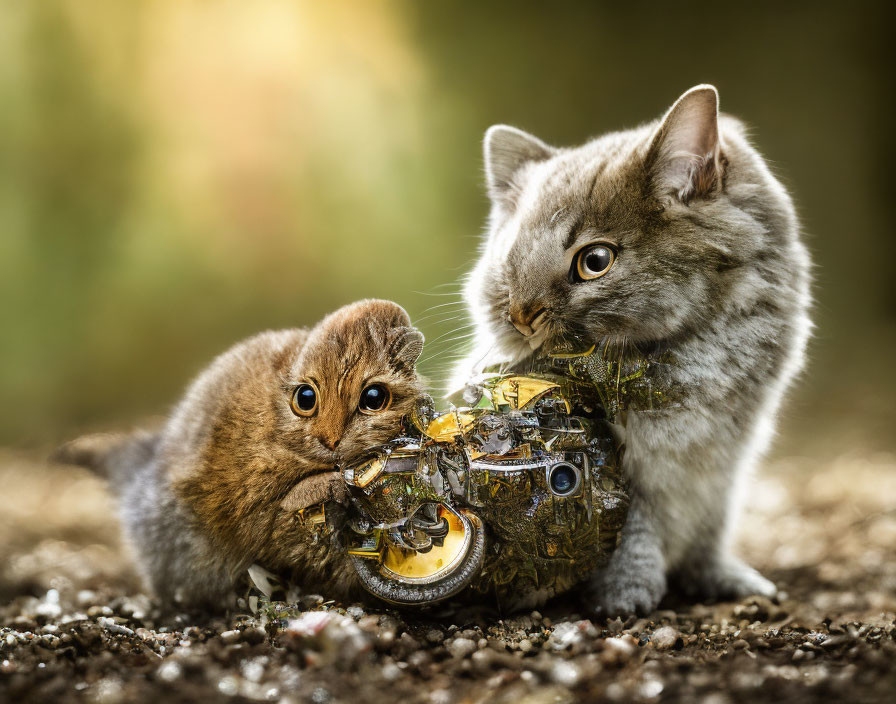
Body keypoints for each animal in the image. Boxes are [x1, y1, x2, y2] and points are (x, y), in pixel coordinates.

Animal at [57, 300, 426, 608]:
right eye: (305, 398)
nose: (330, 440)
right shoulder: (250, 498)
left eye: (374, 398)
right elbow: (283, 505)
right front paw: (328, 484)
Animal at [456, 85, 812, 616]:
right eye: (510, 262)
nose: (522, 315)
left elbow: (710, 529)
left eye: (596, 261)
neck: (683, 346)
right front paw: (626, 596)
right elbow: (631, 531)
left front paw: (725, 579)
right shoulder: (618, 466)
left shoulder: (723, 466)